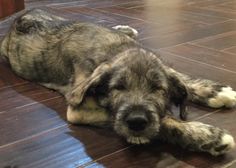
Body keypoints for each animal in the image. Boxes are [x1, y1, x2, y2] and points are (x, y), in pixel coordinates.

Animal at [0, 8, 236, 156]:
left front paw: (215, 91)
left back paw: (126, 28)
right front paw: (206, 136)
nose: (137, 122)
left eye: (158, 89)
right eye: (118, 88)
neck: (115, 49)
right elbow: (161, 120)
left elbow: (181, 77)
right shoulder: (79, 109)